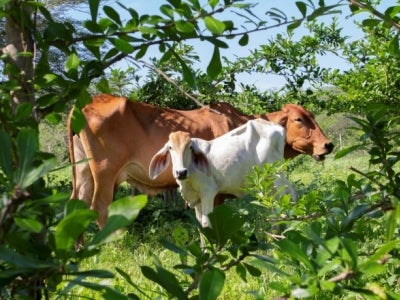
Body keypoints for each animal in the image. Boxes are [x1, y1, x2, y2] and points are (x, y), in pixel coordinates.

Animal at [148, 119, 296, 227]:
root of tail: (278, 127)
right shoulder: (197, 199)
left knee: (289, 197)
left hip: (276, 177)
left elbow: (206, 223)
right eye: (170, 147)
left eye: (190, 147)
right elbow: (200, 224)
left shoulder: (208, 193)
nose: (181, 172)